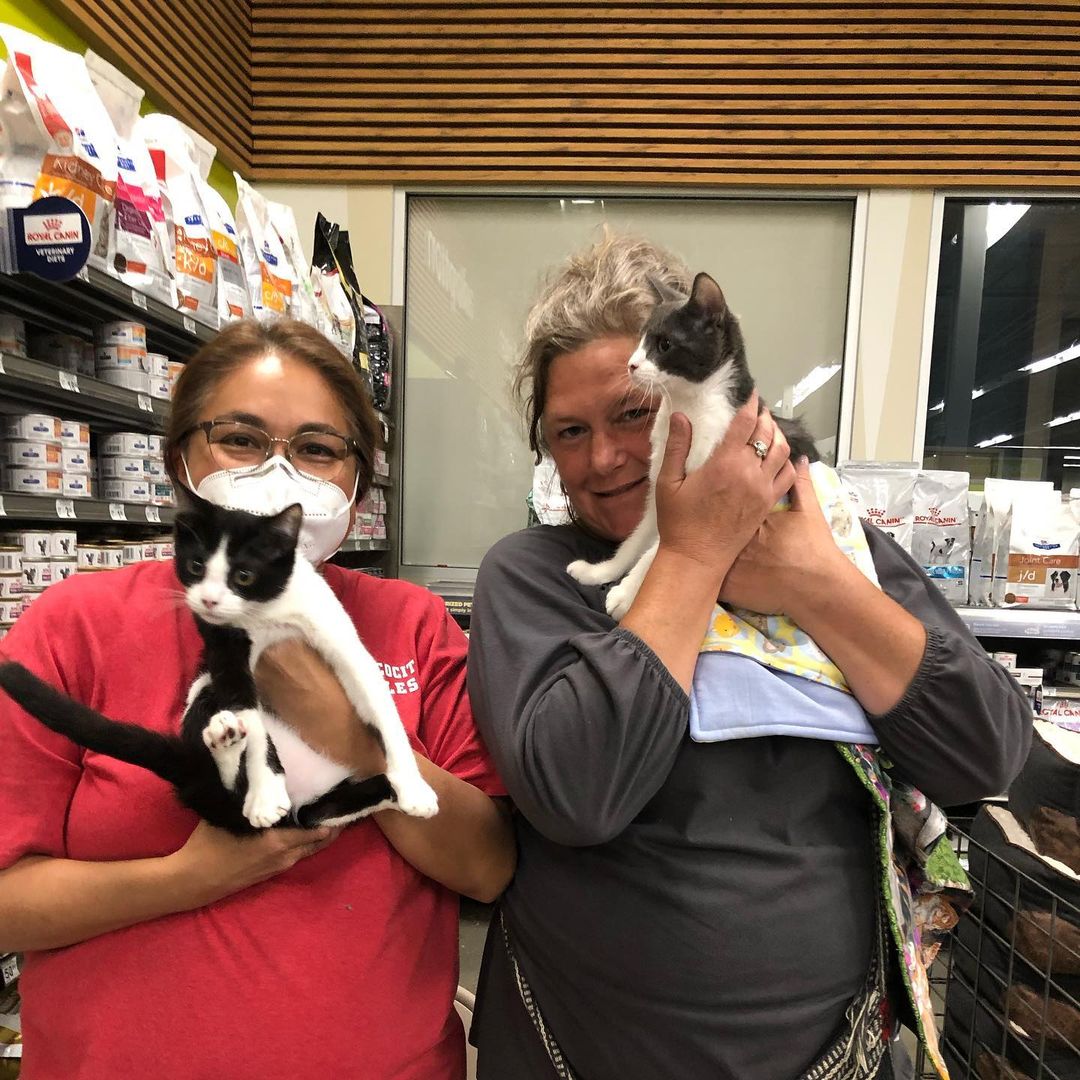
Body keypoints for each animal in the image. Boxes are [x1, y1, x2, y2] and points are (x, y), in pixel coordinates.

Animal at [1, 494, 438, 829]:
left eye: (244, 576)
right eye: (195, 567)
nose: (208, 600)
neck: (268, 611)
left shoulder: (337, 636)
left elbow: (378, 700)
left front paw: (414, 785)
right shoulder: (224, 647)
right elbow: (248, 709)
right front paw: (264, 791)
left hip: (319, 801)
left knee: (316, 813)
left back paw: (382, 790)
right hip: (202, 693)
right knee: (231, 783)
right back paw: (226, 742)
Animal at [565, 270, 816, 622]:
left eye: (664, 344)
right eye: (640, 341)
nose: (631, 364)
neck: (686, 407)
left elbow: (659, 549)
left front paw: (626, 594)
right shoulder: (660, 494)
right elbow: (635, 540)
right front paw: (599, 571)